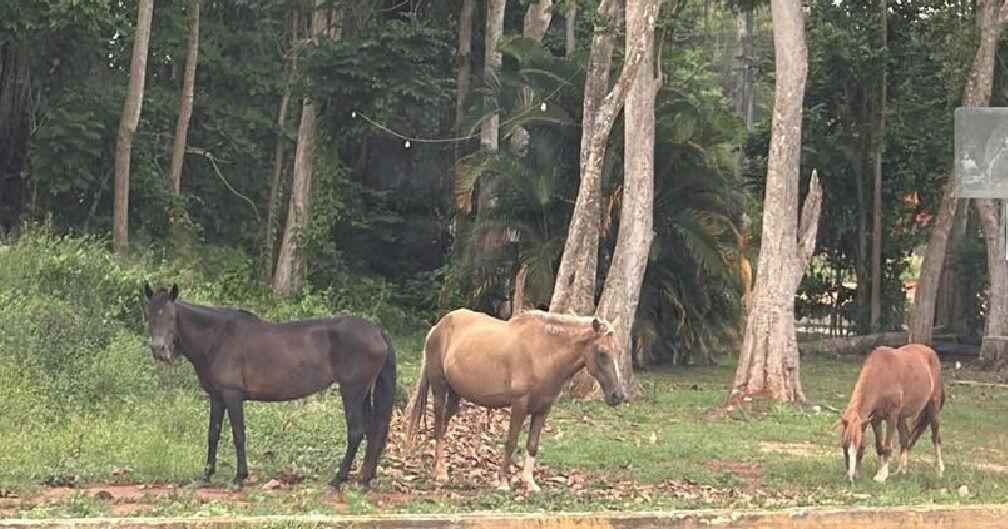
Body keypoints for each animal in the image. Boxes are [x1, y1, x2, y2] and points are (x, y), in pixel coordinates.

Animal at [142, 283, 396, 489]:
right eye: (149, 315)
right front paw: (206, 476)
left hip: (352, 391)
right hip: (363, 393)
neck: (218, 337)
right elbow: (213, 434)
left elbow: (238, 435)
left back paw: (337, 481)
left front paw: (239, 478)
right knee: (373, 432)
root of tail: (377, 331)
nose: (159, 349)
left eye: (171, 316)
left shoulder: (232, 396)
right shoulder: (217, 397)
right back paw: (364, 480)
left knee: (356, 432)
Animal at [404, 309, 626, 491]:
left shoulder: (542, 410)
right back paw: (441, 473)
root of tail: (437, 327)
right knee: (438, 426)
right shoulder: (519, 405)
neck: (542, 352)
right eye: (602, 353)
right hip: (440, 390)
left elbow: (532, 444)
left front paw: (529, 482)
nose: (618, 396)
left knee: (443, 425)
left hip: (455, 395)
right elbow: (511, 441)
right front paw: (503, 482)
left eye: (619, 352)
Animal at [839, 344, 945, 483]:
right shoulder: (875, 419)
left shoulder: (892, 417)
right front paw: (880, 471)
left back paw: (939, 471)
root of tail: (930, 351)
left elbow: (887, 446)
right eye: (844, 446)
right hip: (902, 417)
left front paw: (882, 476)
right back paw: (901, 471)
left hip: (933, 408)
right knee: (905, 438)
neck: (881, 375)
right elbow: (880, 447)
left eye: (860, 446)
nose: (850, 478)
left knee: (936, 438)